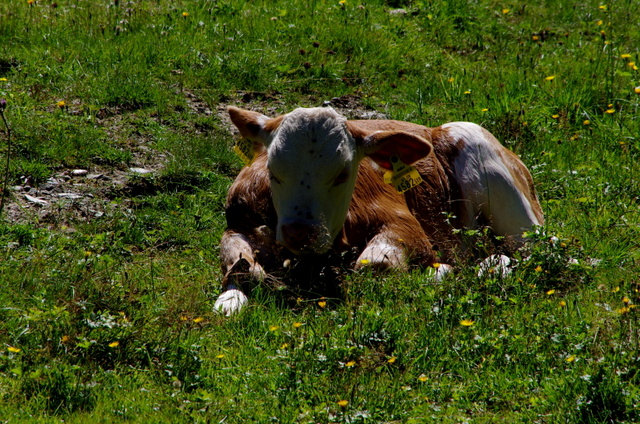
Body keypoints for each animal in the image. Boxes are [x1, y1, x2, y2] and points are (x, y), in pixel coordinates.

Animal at [214, 106, 540, 314]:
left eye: (343, 173)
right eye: (273, 170)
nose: (299, 231)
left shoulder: (405, 225)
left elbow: (374, 265)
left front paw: (439, 272)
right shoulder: (238, 221)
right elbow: (236, 258)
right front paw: (231, 299)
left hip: (484, 158)